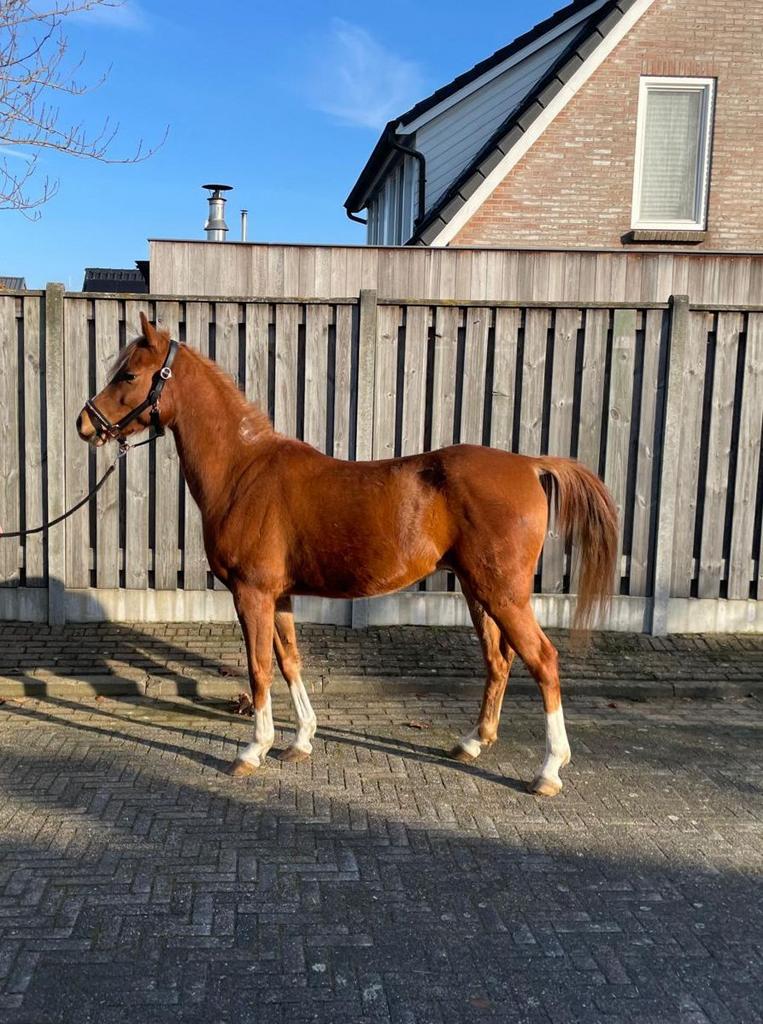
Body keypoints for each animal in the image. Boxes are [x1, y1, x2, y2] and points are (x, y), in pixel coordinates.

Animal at [77, 313, 618, 797]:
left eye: (129, 375)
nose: (86, 423)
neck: (243, 471)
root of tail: (529, 465)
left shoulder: (252, 594)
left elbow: (259, 668)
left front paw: (253, 749)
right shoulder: (280, 597)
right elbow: (290, 661)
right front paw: (300, 741)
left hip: (504, 594)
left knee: (543, 660)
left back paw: (549, 770)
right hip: (478, 592)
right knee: (498, 660)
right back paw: (472, 743)